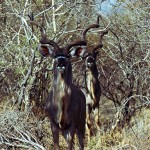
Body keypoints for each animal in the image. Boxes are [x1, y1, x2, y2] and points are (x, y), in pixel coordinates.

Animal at [33, 20, 99, 149]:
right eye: (55, 56)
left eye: (67, 56)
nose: (61, 64)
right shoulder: (54, 124)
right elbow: (56, 145)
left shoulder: (71, 125)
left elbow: (70, 145)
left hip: (80, 124)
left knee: (81, 142)